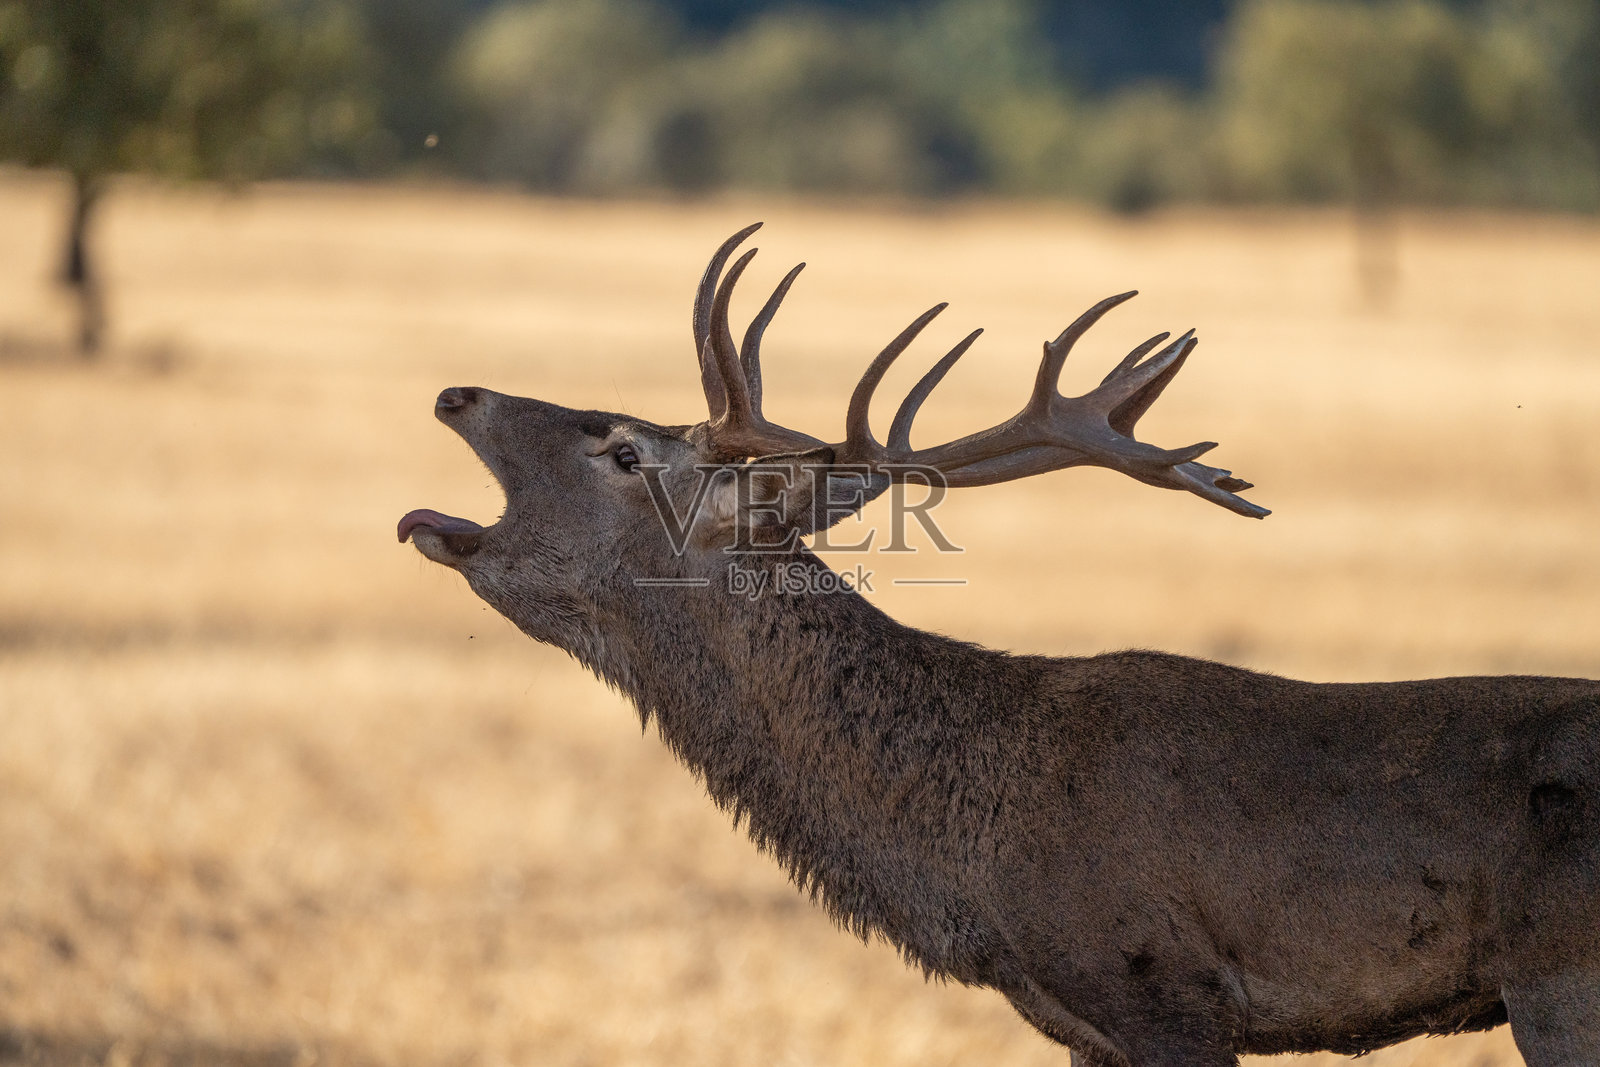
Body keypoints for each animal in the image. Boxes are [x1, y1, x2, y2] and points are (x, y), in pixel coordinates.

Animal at [398, 224, 1599, 1066]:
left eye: (624, 452)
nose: (459, 389)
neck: (972, 847)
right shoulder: (1085, 1023)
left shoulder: (1161, 984)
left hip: (1560, 972)